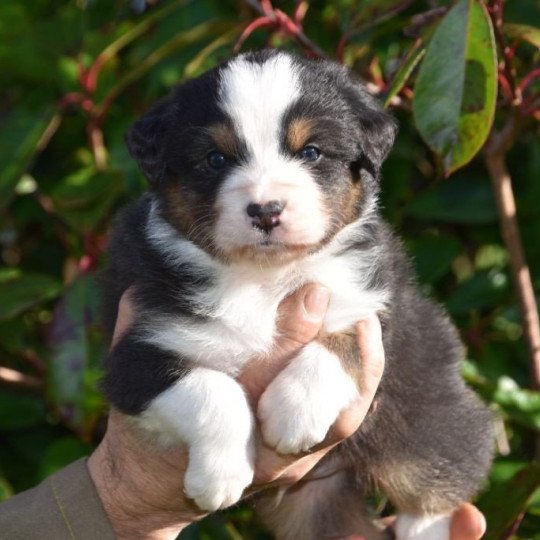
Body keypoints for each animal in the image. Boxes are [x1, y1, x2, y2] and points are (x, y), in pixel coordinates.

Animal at [102, 49, 494, 540]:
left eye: (311, 152)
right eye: (215, 159)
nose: (266, 211)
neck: (263, 279)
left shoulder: (376, 312)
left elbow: (341, 344)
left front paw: (294, 411)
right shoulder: (136, 349)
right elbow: (212, 388)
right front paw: (219, 477)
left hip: (422, 408)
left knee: (442, 467)